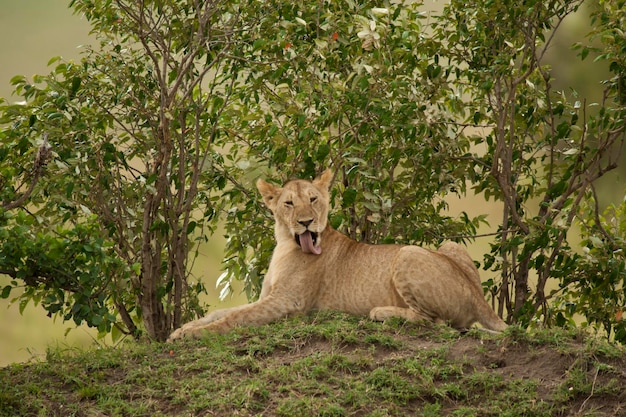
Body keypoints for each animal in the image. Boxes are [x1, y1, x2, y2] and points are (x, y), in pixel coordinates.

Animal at [167, 167, 508, 340]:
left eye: (314, 199)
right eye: (289, 203)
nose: (307, 222)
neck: (285, 244)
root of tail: (479, 297)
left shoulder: (288, 303)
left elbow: (236, 317)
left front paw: (191, 336)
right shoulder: (269, 297)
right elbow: (221, 312)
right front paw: (183, 328)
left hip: (408, 253)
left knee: (437, 322)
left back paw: (381, 312)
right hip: (451, 246)